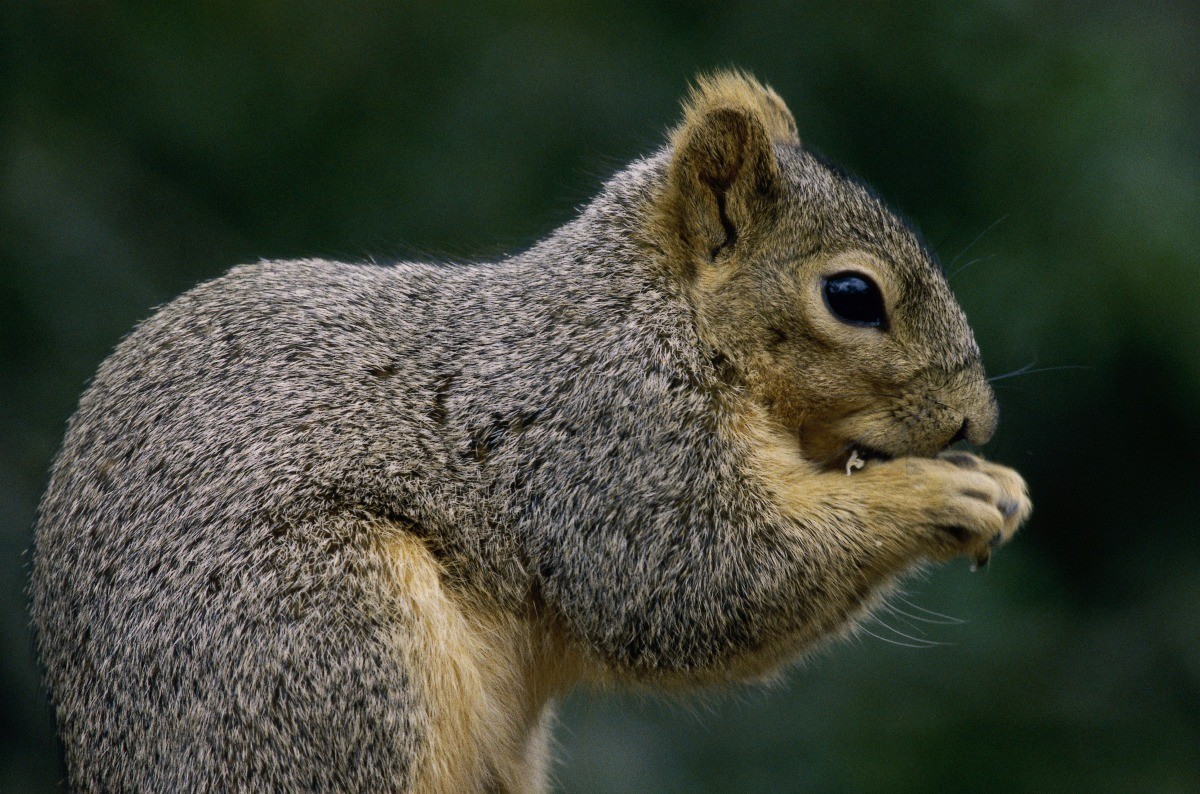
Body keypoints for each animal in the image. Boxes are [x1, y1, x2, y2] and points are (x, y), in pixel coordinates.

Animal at [31, 72, 1030, 792]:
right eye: (852, 295)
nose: (976, 418)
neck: (661, 316)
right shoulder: (607, 436)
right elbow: (698, 580)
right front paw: (946, 490)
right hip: (323, 641)